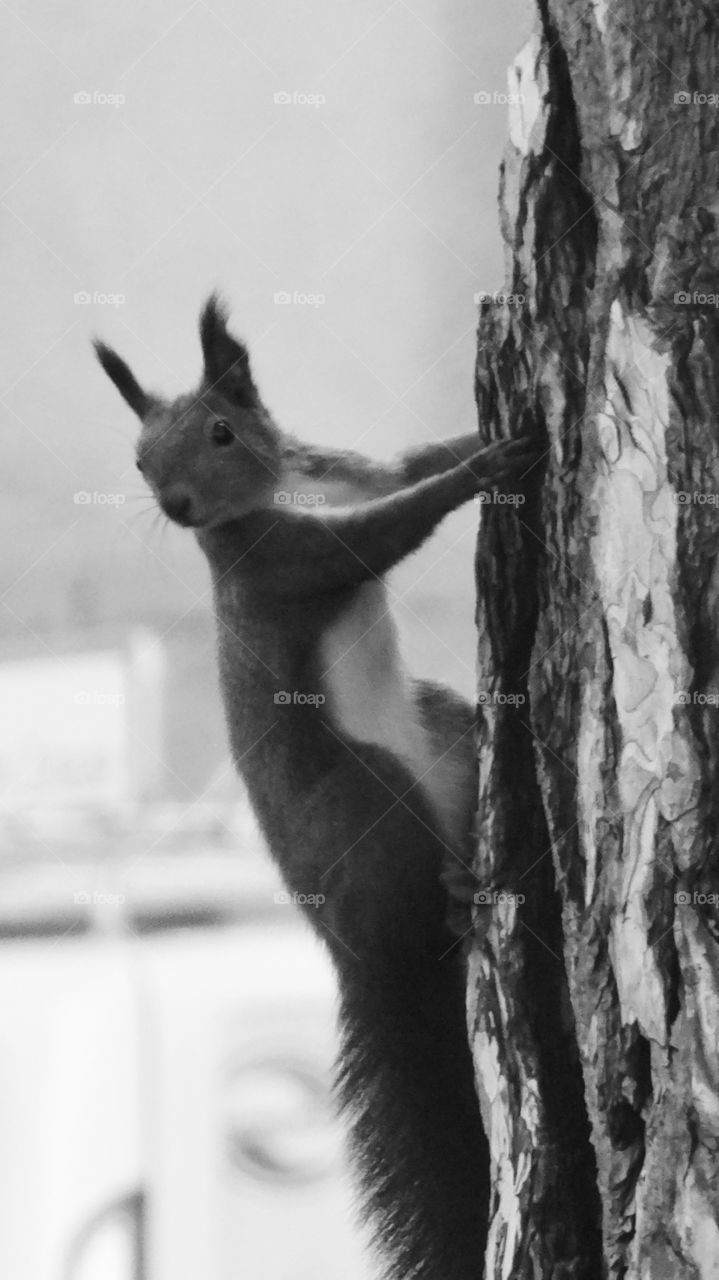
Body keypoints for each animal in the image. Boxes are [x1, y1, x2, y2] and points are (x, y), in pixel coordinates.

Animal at [95, 295, 538, 1280]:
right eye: (138, 461)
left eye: (220, 431)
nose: (177, 506)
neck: (282, 491)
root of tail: (355, 956)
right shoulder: (287, 562)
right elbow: (391, 528)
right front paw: (482, 471)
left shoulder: (357, 472)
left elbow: (412, 465)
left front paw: (479, 436)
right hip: (374, 796)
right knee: (423, 896)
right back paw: (458, 895)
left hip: (442, 733)